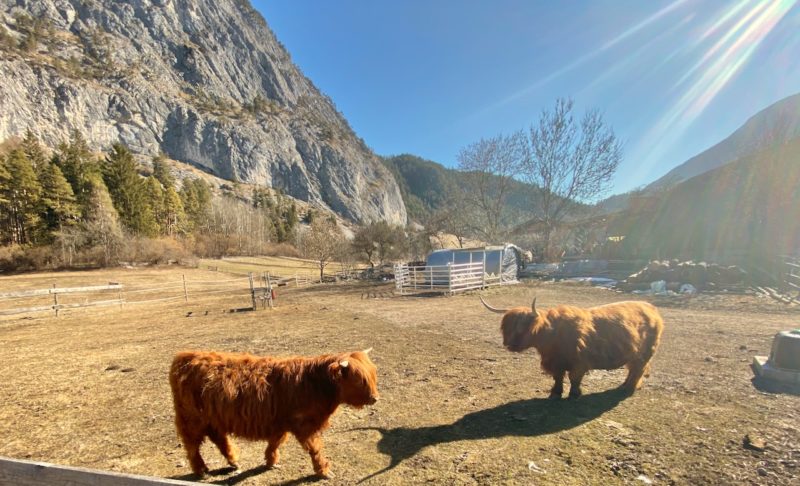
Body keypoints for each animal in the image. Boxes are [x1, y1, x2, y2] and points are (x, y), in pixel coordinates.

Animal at [168, 350, 378, 478]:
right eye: (359, 380)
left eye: (373, 375)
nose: (375, 398)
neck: (315, 384)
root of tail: (184, 357)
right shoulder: (304, 425)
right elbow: (315, 448)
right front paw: (324, 471)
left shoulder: (281, 423)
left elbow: (276, 442)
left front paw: (270, 462)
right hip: (192, 419)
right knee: (192, 446)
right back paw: (201, 469)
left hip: (213, 418)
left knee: (219, 438)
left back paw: (234, 461)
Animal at [482, 296, 664, 398]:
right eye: (505, 328)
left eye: (522, 327)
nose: (508, 344)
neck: (553, 336)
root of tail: (651, 308)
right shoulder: (555, 362)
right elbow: (558, 377)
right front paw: (555, 393)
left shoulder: (579, 362)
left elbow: (574, 379)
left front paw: (575, 394)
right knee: (632, 369)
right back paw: (624, 385)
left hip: (645, 353)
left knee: (637, 370)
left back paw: (628, 388)